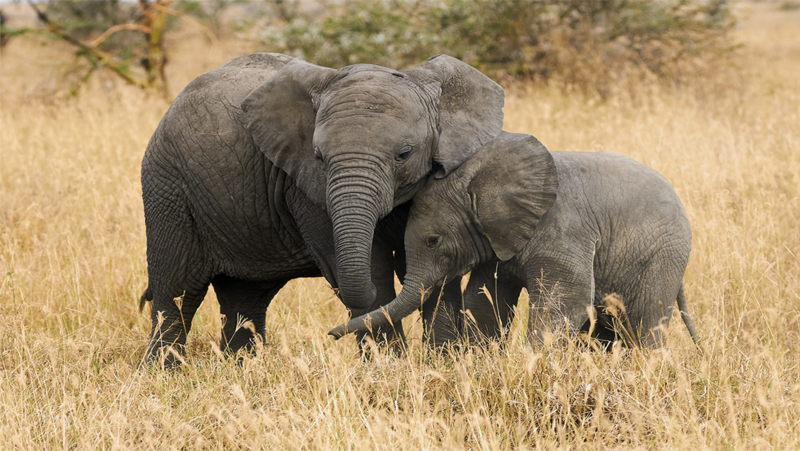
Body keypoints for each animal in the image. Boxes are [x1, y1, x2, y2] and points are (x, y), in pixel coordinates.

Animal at [139, 53, 505, 363]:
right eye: (319, 158)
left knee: (245, 299)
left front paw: (446, 363)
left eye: (404, 154)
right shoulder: (305, 189)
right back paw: (164, 374)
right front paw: (390, 369)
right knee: (177, 292)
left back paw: (241, 368)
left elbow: (437, 270)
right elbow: (375, 271)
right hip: (167, 187)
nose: (331, 334)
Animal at [329, 132, 699, 348]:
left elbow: (567, 301)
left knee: (646, 323)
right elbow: (484, 299)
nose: (330, 334)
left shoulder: (562, 230)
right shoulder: (496, 240)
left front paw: (534, 364)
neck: (477, 179)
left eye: (433, 241)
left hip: (663, 255)